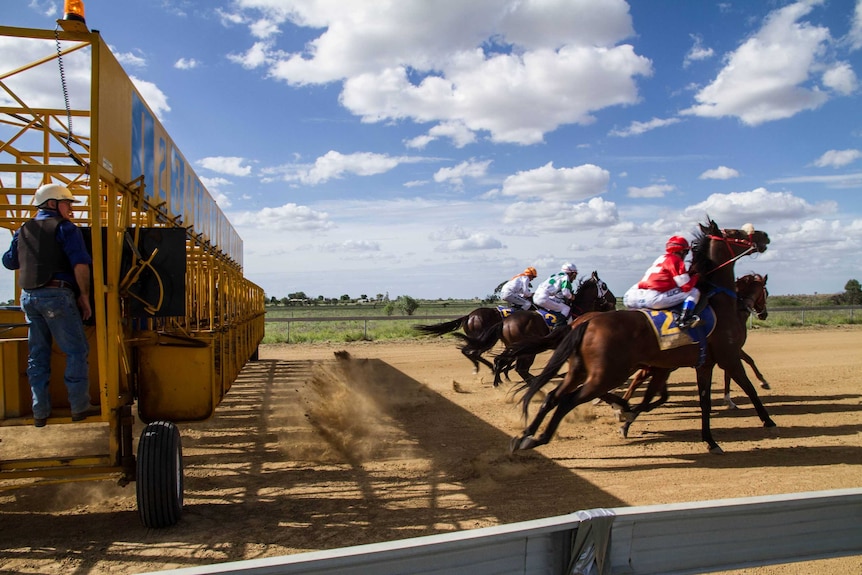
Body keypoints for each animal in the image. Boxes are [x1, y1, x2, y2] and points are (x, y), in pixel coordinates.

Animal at [462, 272, 616, 388]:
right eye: (604, 285)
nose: (614, 301)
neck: (576, 311)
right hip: (525, 350)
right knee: (515, 366)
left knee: (497, 359)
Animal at [620, 274, 776, 410]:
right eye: (766, 292)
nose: (764, 314)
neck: (733, 308)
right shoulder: (732, 349)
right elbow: (747, 361)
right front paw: (763, 382)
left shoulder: (727, 352)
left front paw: (729, 400)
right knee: (637, 378)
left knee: (638, 378)